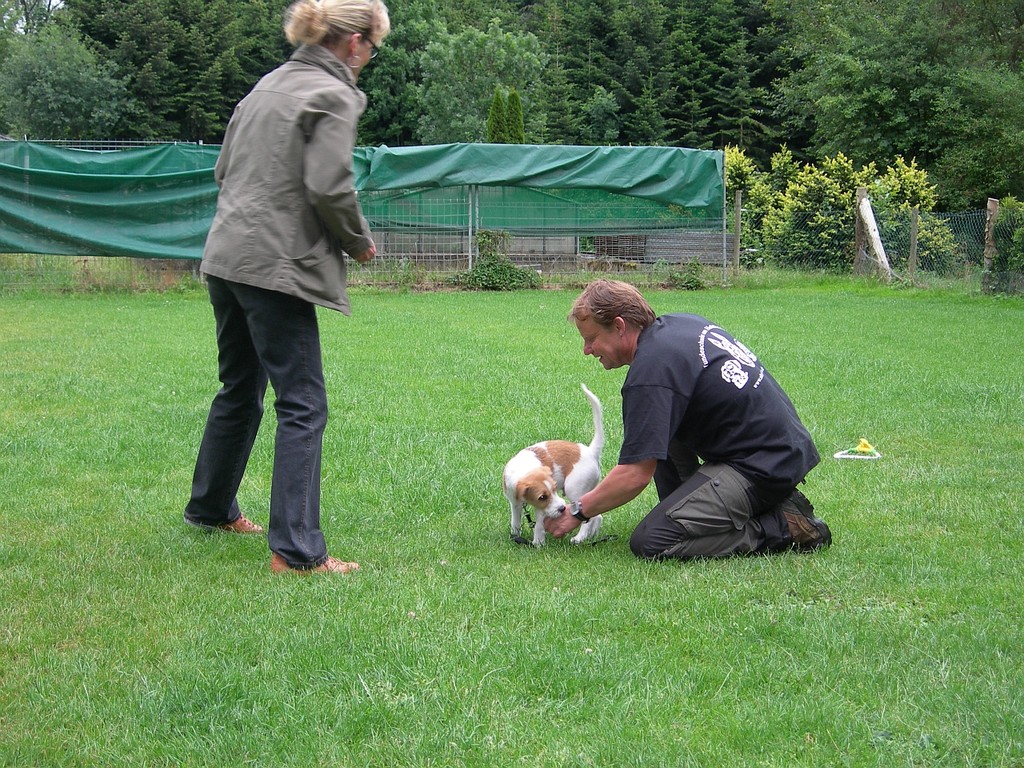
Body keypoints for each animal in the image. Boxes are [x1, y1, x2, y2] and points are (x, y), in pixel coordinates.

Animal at [501, 385, 602, 548]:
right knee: (597, 515)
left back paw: (579, 538)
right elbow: (515, 521)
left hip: (575, 490)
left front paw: (537, 543)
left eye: (554, 489)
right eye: (542, 497)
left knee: (588, 517)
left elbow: (539, 525)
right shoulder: (515, 503)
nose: (562, 508)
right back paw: (591, 536)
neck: (524, 469)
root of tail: (590, 451)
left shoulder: (541, 510)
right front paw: (515, 535)